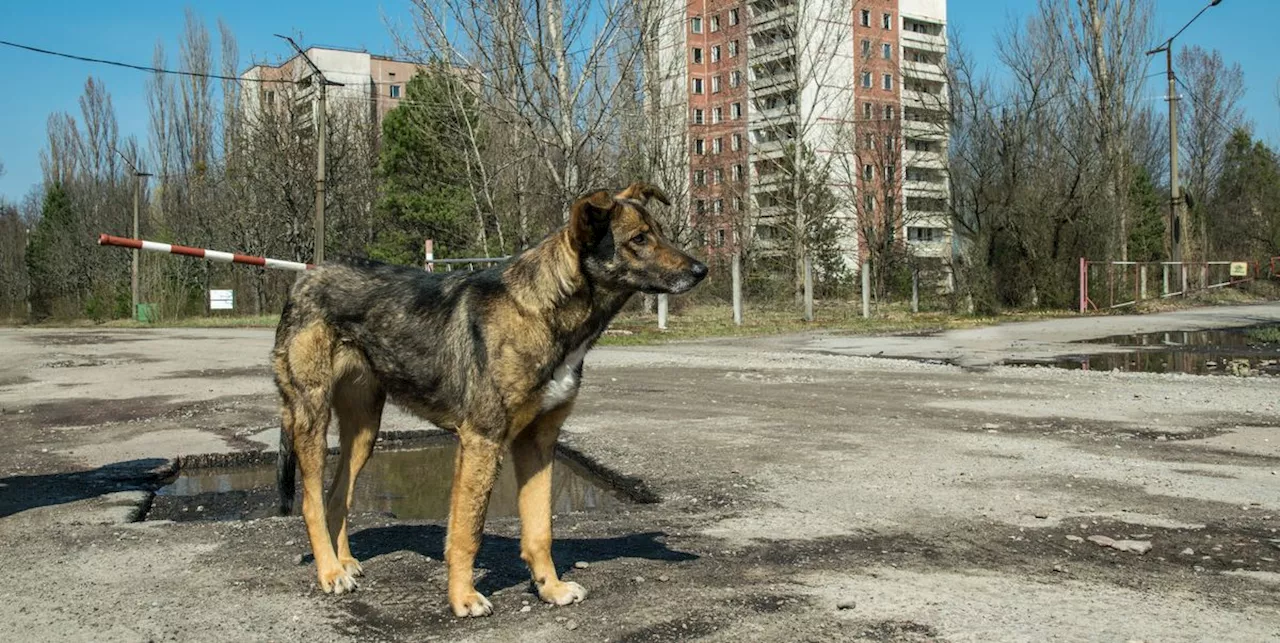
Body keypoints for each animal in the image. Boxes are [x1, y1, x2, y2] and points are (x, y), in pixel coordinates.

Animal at [271, 181, 711, 617]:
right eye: (639, 239)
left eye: (661, 232)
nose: (701, 270)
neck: (544, 310)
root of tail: (306, 279)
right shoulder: (482, 441)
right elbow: (467, 531)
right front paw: (462, 598)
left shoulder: (538, 443)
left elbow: (540, 528)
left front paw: (550, 588)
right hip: (311, 417)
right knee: (312, 502)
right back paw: (330, 572)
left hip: (364, 429)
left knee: (337, 496)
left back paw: (343, 561)